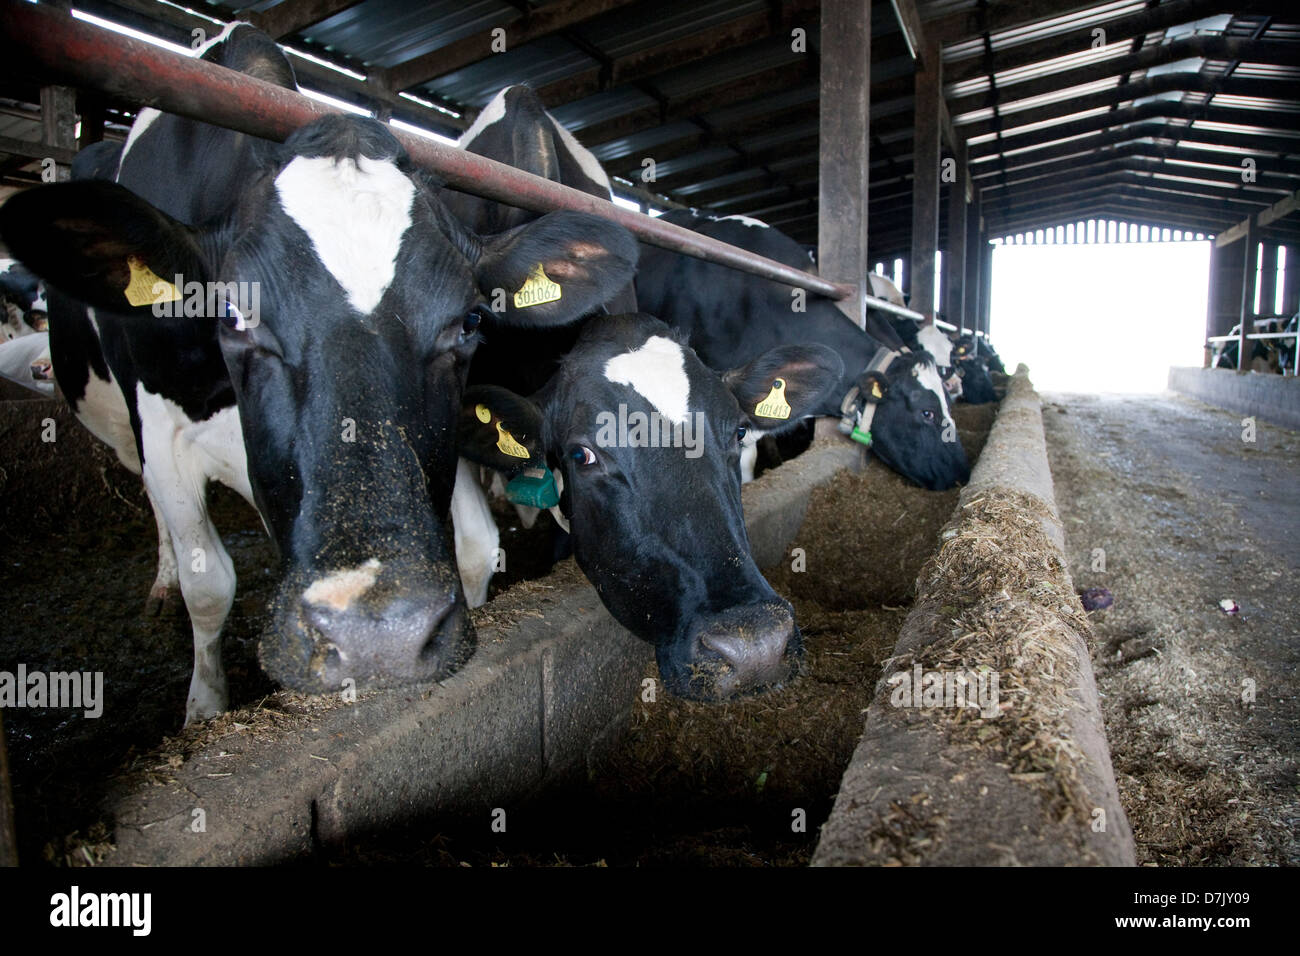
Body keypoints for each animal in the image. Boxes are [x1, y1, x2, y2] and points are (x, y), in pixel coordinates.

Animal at [0, 25, 636, 723]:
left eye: (469, 320)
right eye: (232, 313)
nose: (379, 636)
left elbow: (473, 544)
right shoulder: (162, 428)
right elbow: (208, 584)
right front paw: (204, 709)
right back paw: (162, 580)